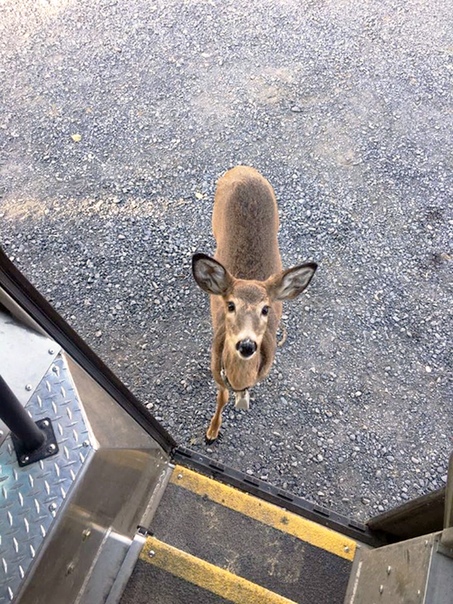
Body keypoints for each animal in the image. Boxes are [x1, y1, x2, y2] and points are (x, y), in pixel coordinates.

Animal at [192, 166, 317, 443]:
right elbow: (222, 396)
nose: (247, 345)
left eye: (266, 309)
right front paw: (211, 432)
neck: (239, 379)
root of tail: (242, 169)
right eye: (230, 305)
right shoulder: (217, 373)